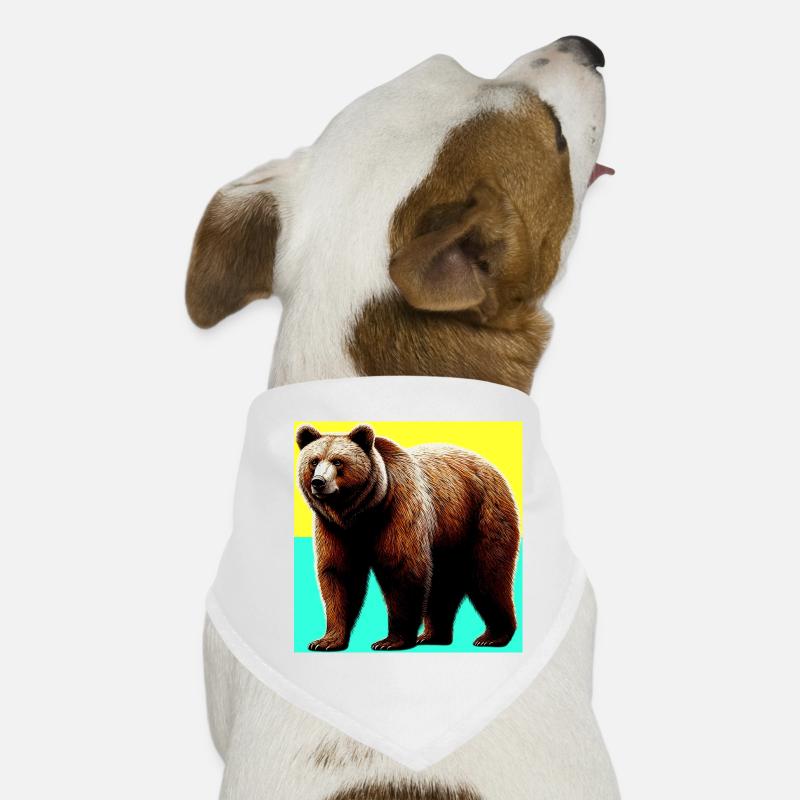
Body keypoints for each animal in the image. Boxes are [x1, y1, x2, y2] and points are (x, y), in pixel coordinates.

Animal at [296, 423, 520, 651]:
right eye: (314, 461)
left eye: (338, 461)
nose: (319, 482)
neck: (362, 513)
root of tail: (492, 468)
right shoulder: (335, 529)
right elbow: (339, 574)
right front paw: (326, 640)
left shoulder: (399, 510)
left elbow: (402, 569)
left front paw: (390, 640)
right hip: (448, 536)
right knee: (443, 584)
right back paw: (433, 636)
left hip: (484, 515)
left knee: (488, 574)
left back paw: (492, 636)